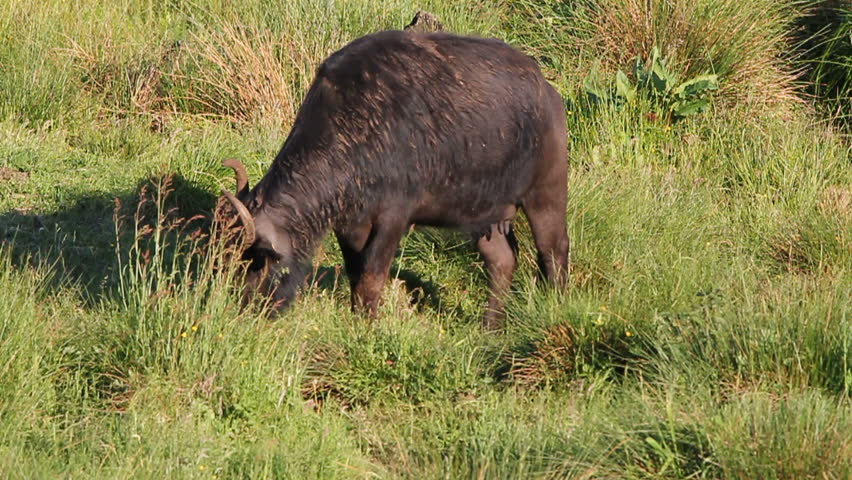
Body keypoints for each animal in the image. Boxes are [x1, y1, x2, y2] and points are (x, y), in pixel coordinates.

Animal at [220, 29, 569, 328]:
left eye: (257, 262)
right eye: (228, 261)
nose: (246, 307)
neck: (359, 126)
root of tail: (548, 93)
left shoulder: (393, 217)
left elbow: (372, 275)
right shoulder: (350, 225)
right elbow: (356, 273)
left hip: (546, 193)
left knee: (553, 251)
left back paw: (555, 305)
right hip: (484, 216)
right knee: (502, 261)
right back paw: (489, 326)